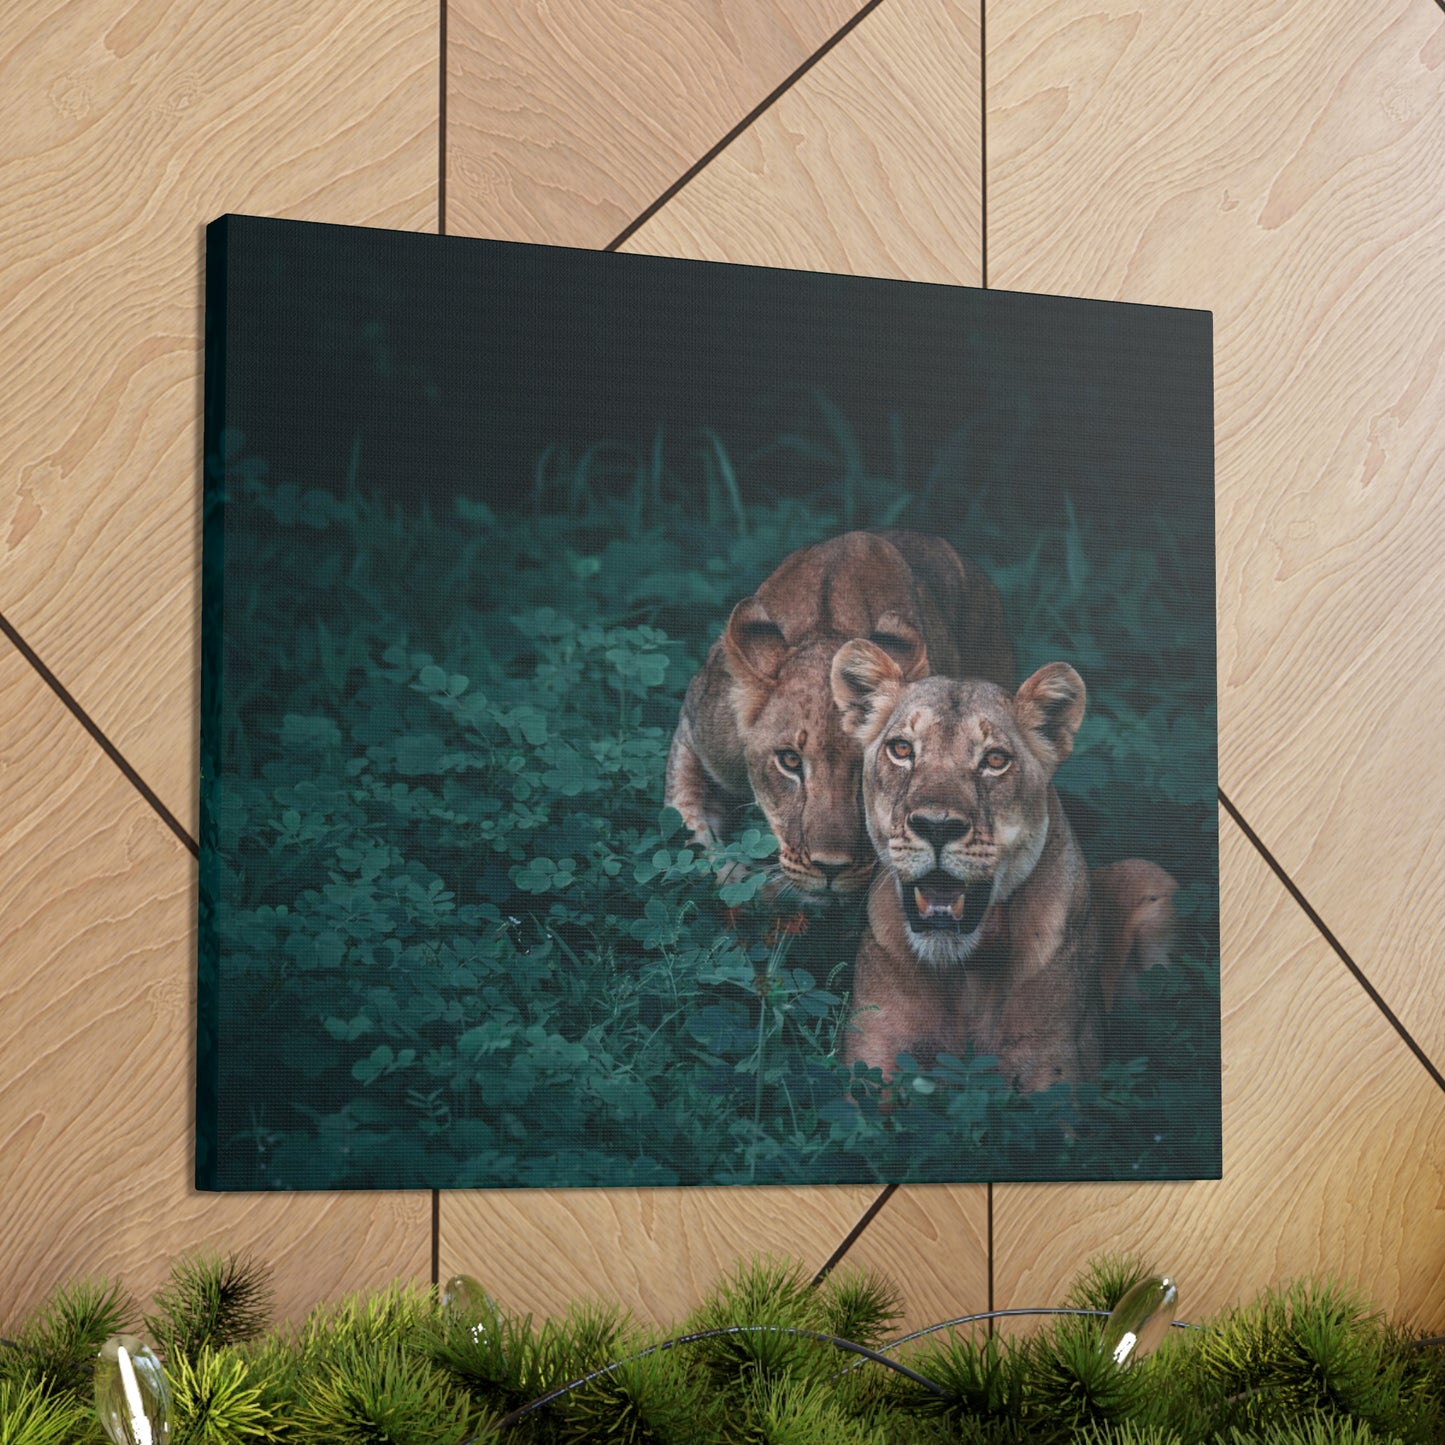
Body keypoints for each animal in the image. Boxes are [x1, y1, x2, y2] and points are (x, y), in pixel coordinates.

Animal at [830, 638, 1177, 1093]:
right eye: (902, 749)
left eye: (995, 760)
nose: (936, 826)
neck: (963, 972)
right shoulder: (872, 1052)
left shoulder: (1053, 1064)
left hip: (1151, 876)